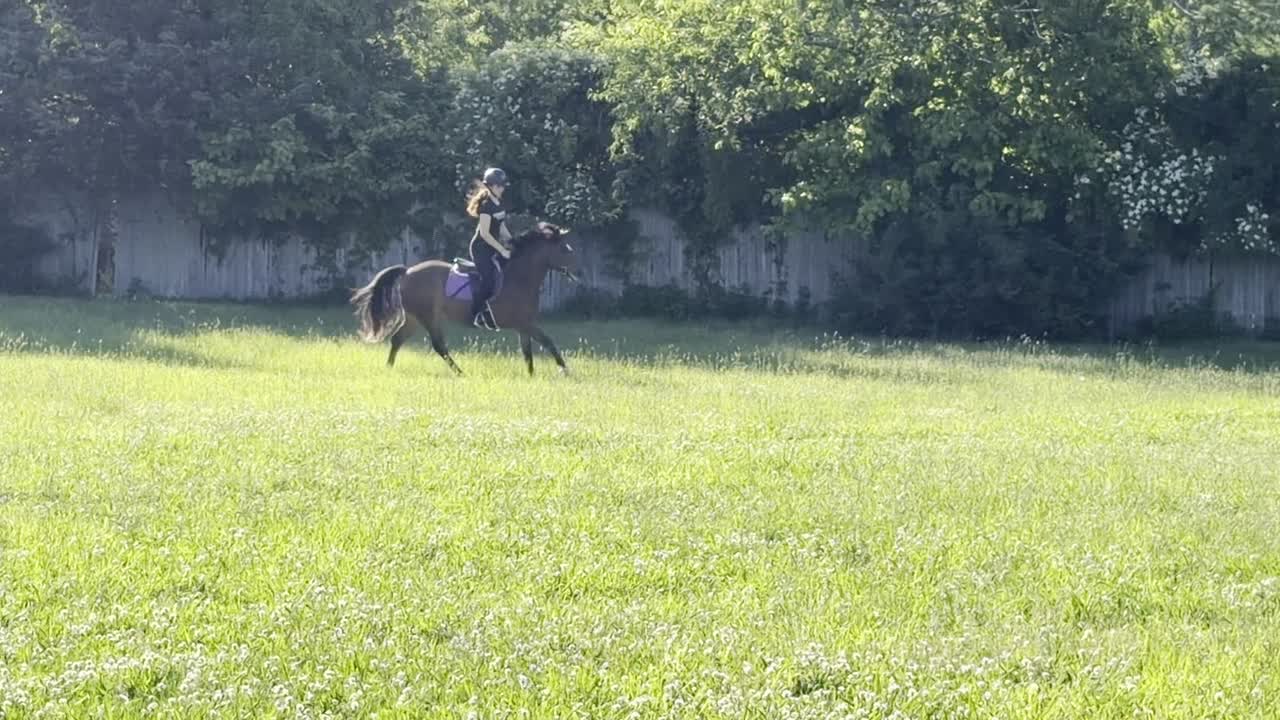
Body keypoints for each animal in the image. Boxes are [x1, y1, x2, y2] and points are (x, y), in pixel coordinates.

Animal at [350, 222, 580, 375]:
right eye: (564, 249)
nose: (578, 270)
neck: (519, 277)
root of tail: (407, 271)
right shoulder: (525, 323)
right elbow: (549, 342)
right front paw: (565, 371)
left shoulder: (523, 325)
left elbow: (527, 352)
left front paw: (532, 375)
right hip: (428, 317)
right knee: (438, 345)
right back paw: (460, 373)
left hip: (414, 318)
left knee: (397, 339)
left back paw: (388, 368)